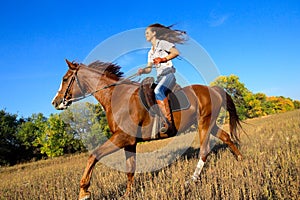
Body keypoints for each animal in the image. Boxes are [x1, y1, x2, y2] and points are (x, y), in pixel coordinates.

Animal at [52, 59, 244, 200]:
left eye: (65, 79)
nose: (55, 102)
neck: (117, 97)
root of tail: (214, 89)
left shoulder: (122, 137)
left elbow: (94, 155)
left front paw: (84, 191)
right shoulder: (129, 143)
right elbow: (130, 169)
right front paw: (128, 194)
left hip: (204, 124)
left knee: (204, 151)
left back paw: (191, 181)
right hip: (209, 123)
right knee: (226, 136)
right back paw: (241, 159)